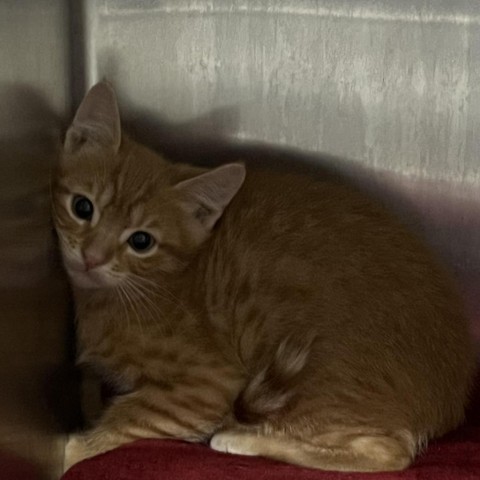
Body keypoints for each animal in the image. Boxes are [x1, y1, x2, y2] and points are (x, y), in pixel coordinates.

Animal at [53, 82, 476, 472]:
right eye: (82, 207)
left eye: (141, 241)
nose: (91, 257)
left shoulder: (204, 386)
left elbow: (130, 419)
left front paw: (73, 451)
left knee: (389, 453)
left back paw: (242, 438)